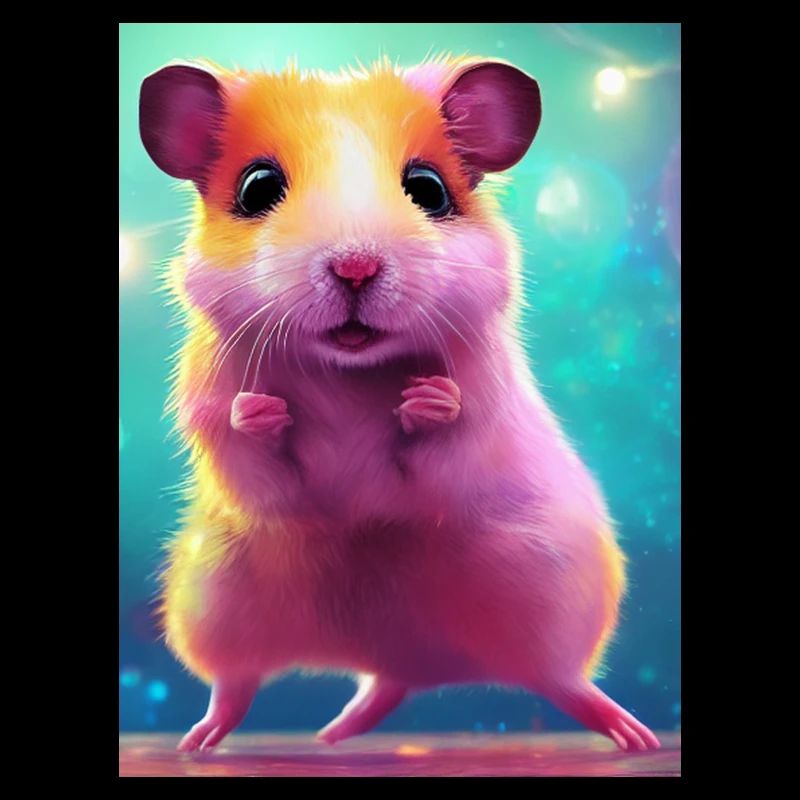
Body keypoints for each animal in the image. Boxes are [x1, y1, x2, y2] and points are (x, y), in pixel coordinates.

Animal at [139, 55, 660, 753]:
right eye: (256, 188)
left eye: (429, 189)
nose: (356, 267)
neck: (348, 372)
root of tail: (413, 657)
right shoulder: (214, 414)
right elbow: (255, 453)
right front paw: (262, 411)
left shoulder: (483, 412)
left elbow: (443, 442)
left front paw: (428, 399)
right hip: (213, 600)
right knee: (248, 684)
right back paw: (251, 738)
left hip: (552, 593)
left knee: (558, 682)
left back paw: (634, 735)